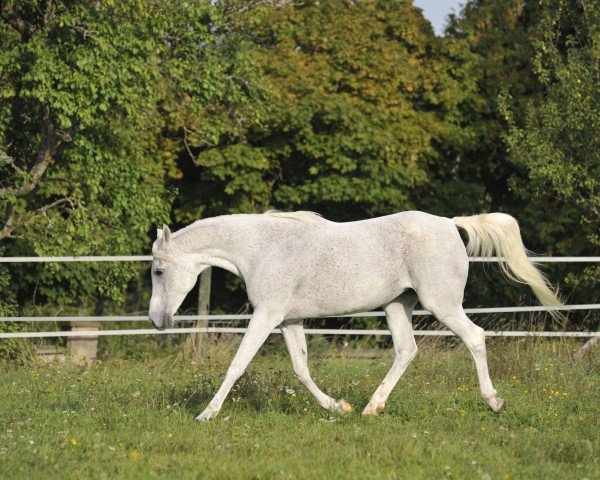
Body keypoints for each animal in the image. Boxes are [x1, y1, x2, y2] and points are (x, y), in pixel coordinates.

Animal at [148, 210, 560, 420]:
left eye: (158, 271)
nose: (156, 320)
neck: (263, 249)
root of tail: (449, 223)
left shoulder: (266, 315)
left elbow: (237, 365)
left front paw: (206, 414)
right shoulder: (288, 320)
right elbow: (300, 368)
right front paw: (338, 407)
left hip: (441, 303)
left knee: (474, 337)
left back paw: (494, 402)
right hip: (397, 305)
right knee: (406, 350)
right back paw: (369, 409)